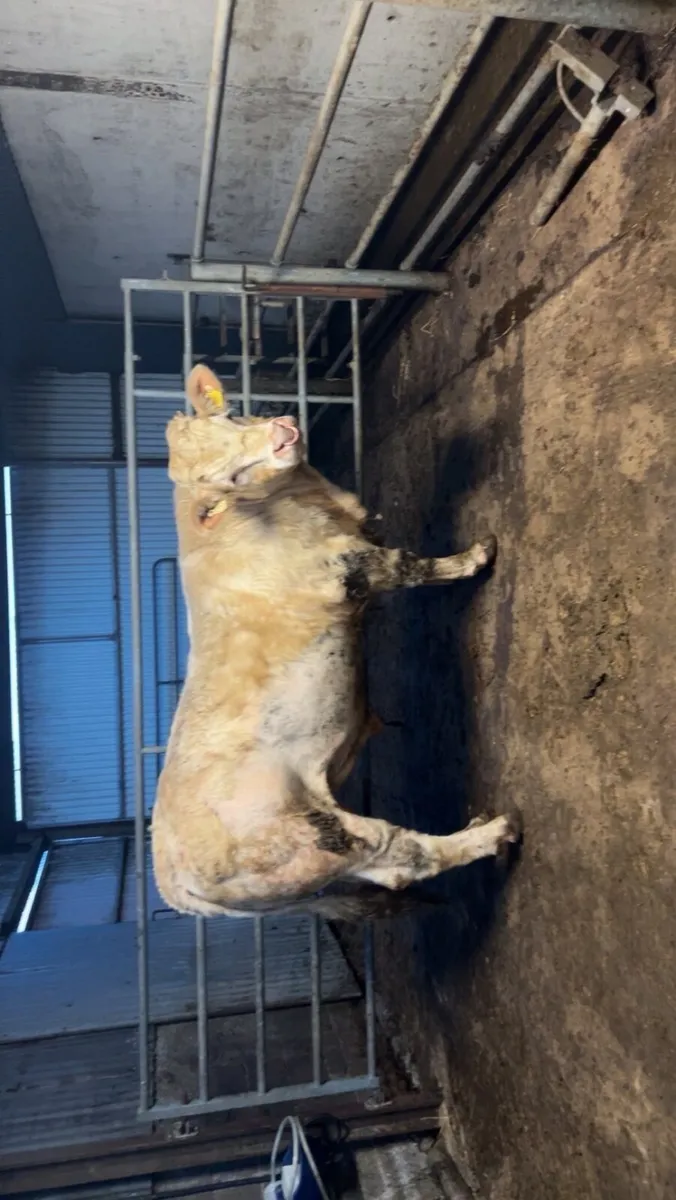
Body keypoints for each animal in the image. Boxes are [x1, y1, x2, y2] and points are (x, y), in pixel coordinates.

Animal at [151, 364, 521, 920]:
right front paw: (477, 555)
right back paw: (496, 831)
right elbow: (409, 565)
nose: (283, 431)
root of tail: (175, 886)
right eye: (231, 476)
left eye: (233, 416)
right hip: (316, 840)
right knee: (404, 855)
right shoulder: (347, 568)